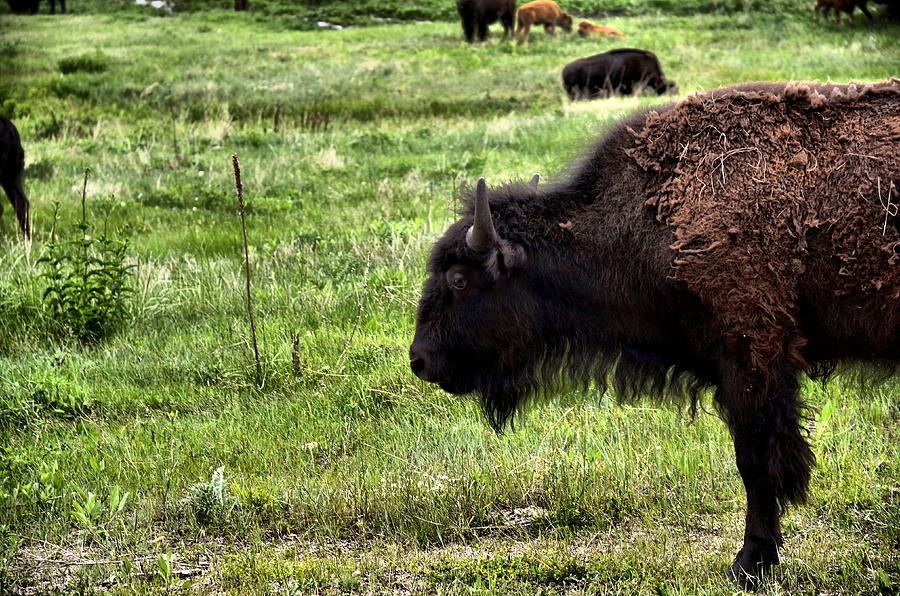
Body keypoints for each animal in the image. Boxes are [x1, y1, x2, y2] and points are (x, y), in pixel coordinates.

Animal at [412, 81, 900, 588]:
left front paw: (749, 564)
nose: (419, 359)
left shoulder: (752, 357)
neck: (649, 215)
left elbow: (756, 461)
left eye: (459, 279)